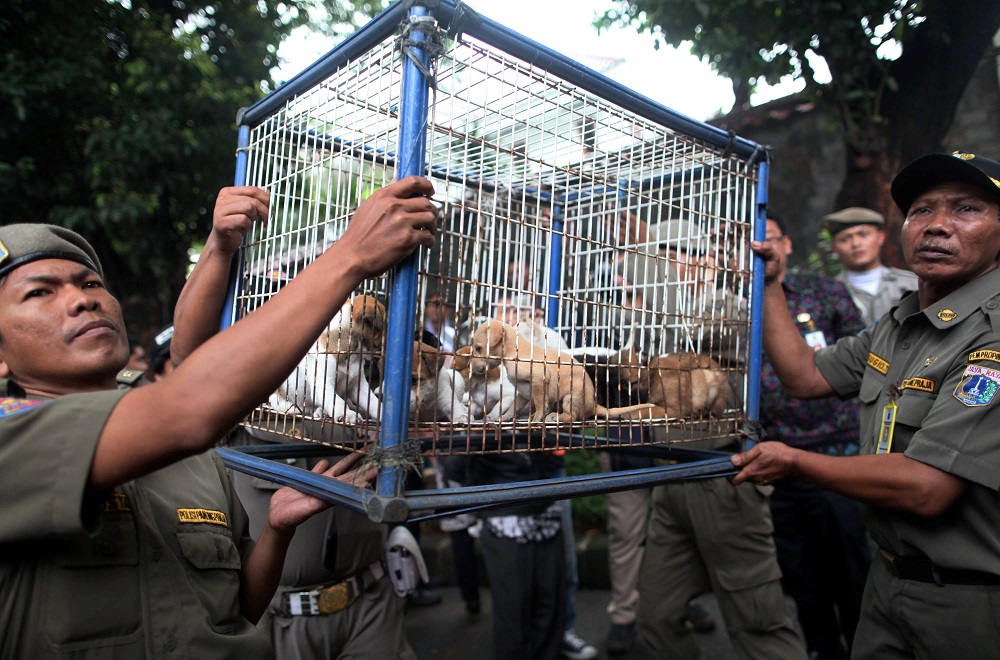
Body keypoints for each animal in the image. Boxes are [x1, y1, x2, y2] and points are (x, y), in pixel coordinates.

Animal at [470, 320, 656, 422]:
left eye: (478, 348)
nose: (471, 366)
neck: (513, 351)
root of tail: (593, 406)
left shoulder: (540, 379)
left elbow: (540, 403)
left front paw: (537, 418)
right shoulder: (523, 392)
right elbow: (514, 406)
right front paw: (505, 417)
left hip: (570, 397)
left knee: (572, 416)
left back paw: (557, 417)